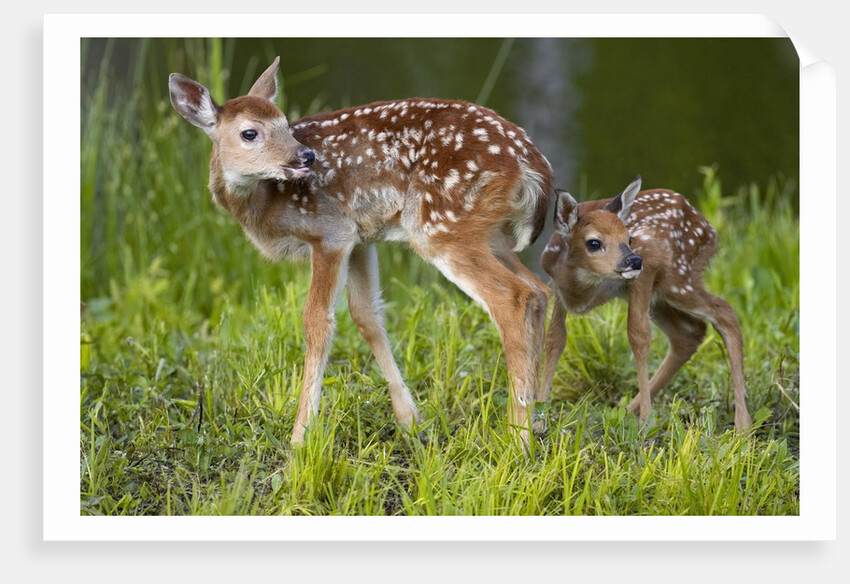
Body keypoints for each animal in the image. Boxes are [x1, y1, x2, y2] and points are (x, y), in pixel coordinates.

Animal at [168, 57, 553, 449]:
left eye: (285, 124)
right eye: (250, 133)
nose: (305, 156)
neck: (264, 202)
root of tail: (532, 162)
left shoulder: (330, 232)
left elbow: (317, 321)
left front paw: (300, 437)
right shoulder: (361, 238)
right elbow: (367, 316)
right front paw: (410, 421)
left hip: (441, 226)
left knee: (513, 297)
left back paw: (517, 440)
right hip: (490, 233)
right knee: (539, 290)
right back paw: (535, 419)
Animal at [538, 176, 753, 431]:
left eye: (629, 238)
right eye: (594, 243)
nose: (633, 260)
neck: (584, 292)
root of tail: (709, 228)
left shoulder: (648, 265)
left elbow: (638, 334)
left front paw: (646, 424)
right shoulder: (557, 286)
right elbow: (555, 338)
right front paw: (535, 419)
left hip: (677, 277)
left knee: (725, 312)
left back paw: (743, 425)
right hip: (662, 295)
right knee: (690, 331)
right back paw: (624, 411)